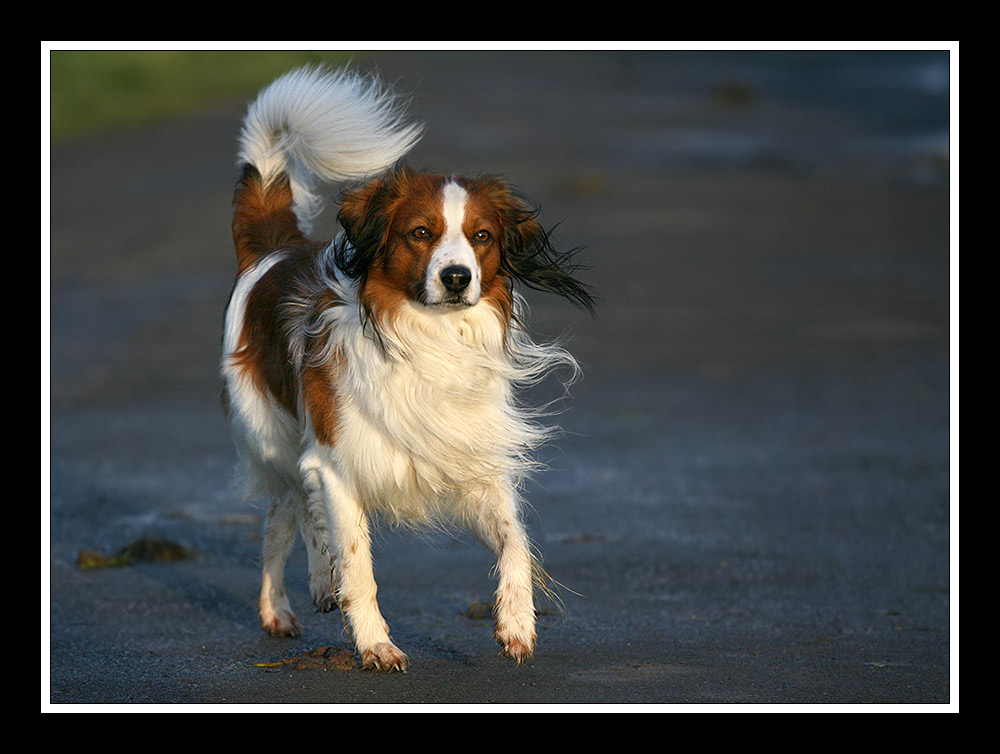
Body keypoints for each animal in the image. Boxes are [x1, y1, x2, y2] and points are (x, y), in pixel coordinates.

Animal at [221, 67, 592, 668]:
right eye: (421, 232)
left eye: (482, 236)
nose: (457, 277)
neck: (428, 338)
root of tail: (274, 250)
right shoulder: (338, 465)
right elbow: (358, 565)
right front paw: (375, 643)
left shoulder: (469, 459)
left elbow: (516, 539)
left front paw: (516, 621)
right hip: (271, 435)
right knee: (288, 509)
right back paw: (290, 599)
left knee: (290, 511)